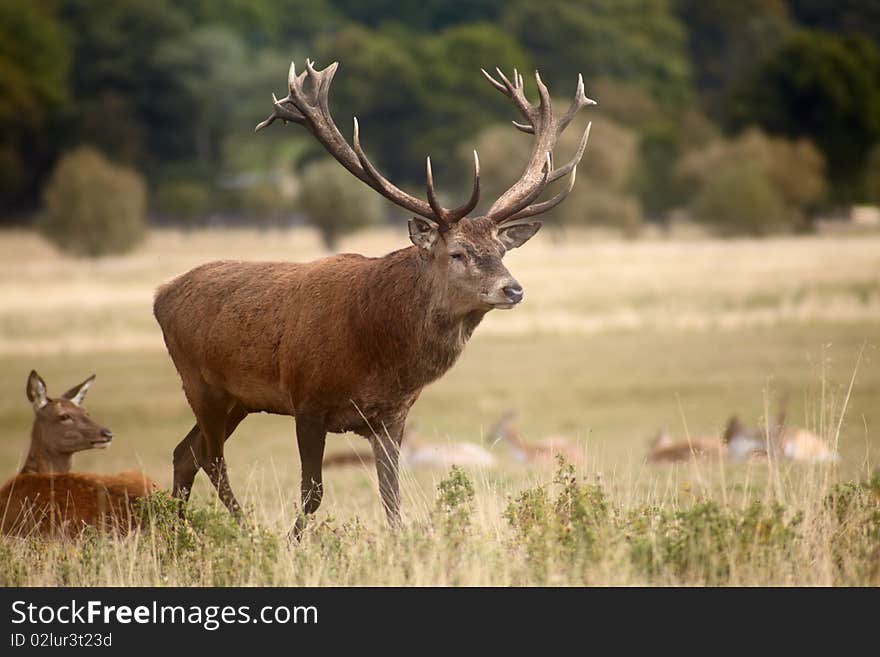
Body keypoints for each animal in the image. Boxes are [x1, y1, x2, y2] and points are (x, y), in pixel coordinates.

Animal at [155, 59, 596, 524]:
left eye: (501, 250)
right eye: (457, 252)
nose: (513, 289)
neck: (374, 355)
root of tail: (160, 295)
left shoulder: (391, 417)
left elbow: (392, 500)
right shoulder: (306, 402)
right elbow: (312, 493)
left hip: (239, 399)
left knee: (186, 452)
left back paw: (182, 527)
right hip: (199, 383)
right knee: (211, 457)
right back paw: (242, 527)